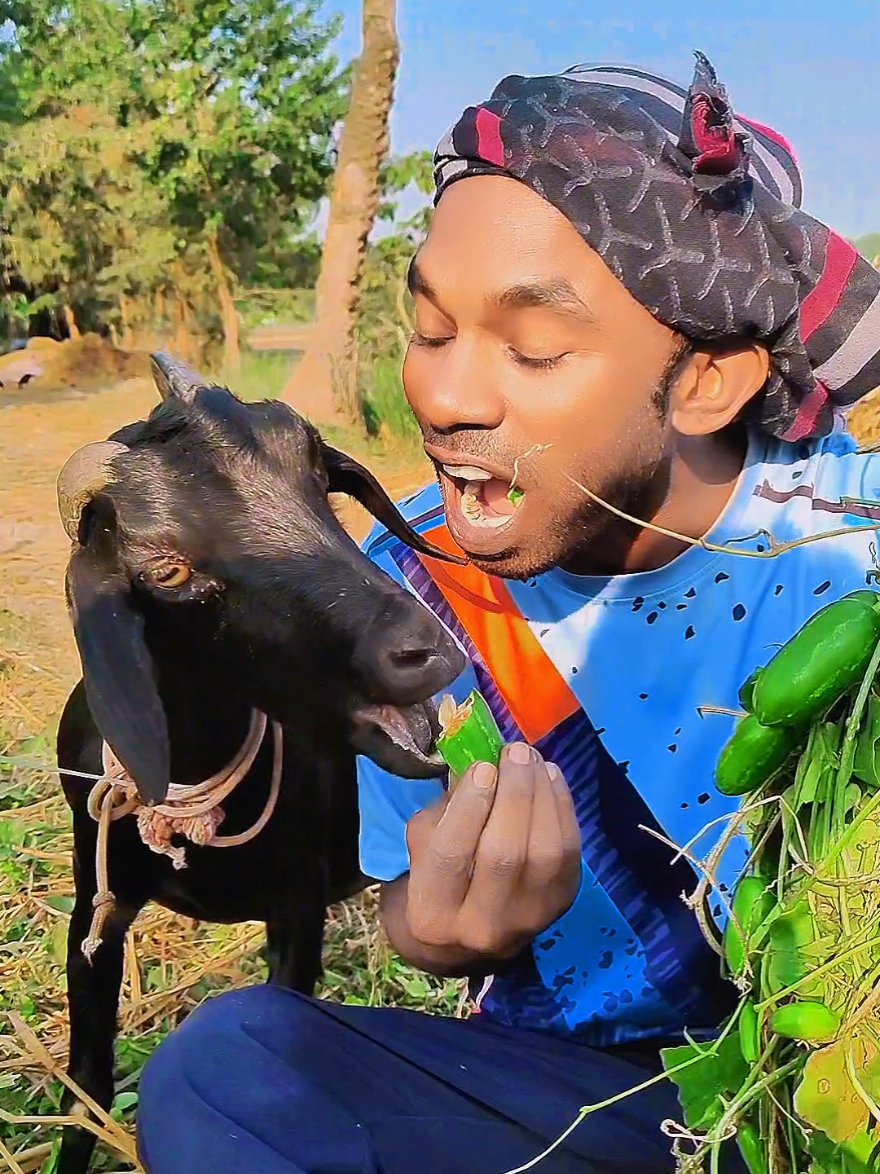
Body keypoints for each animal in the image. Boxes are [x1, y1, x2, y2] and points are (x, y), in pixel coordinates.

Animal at [53, 352, 469, 1169]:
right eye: (167, 569)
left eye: (316, 474)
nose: (424, 651)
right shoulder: (95, 911)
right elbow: (85, 1084)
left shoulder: (297, 904)